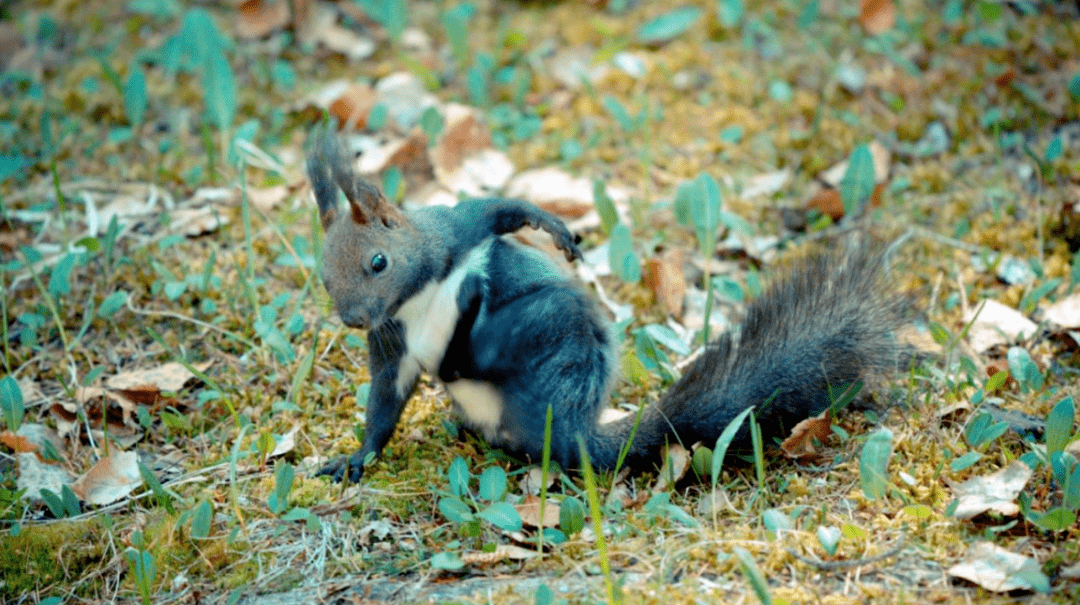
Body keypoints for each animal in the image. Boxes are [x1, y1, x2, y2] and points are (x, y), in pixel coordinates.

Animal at [308, 134, 907, 484]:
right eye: (324, 277)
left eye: (379, 262)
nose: (353, 318)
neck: (417, 298)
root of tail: (575, 428)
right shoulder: (394, 341)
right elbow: (384, 404)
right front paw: (357, 459)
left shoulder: (455, 233)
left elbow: (497, 212)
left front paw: (548, 225)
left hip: (549, 338)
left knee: (511, 331)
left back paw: (470, 346)